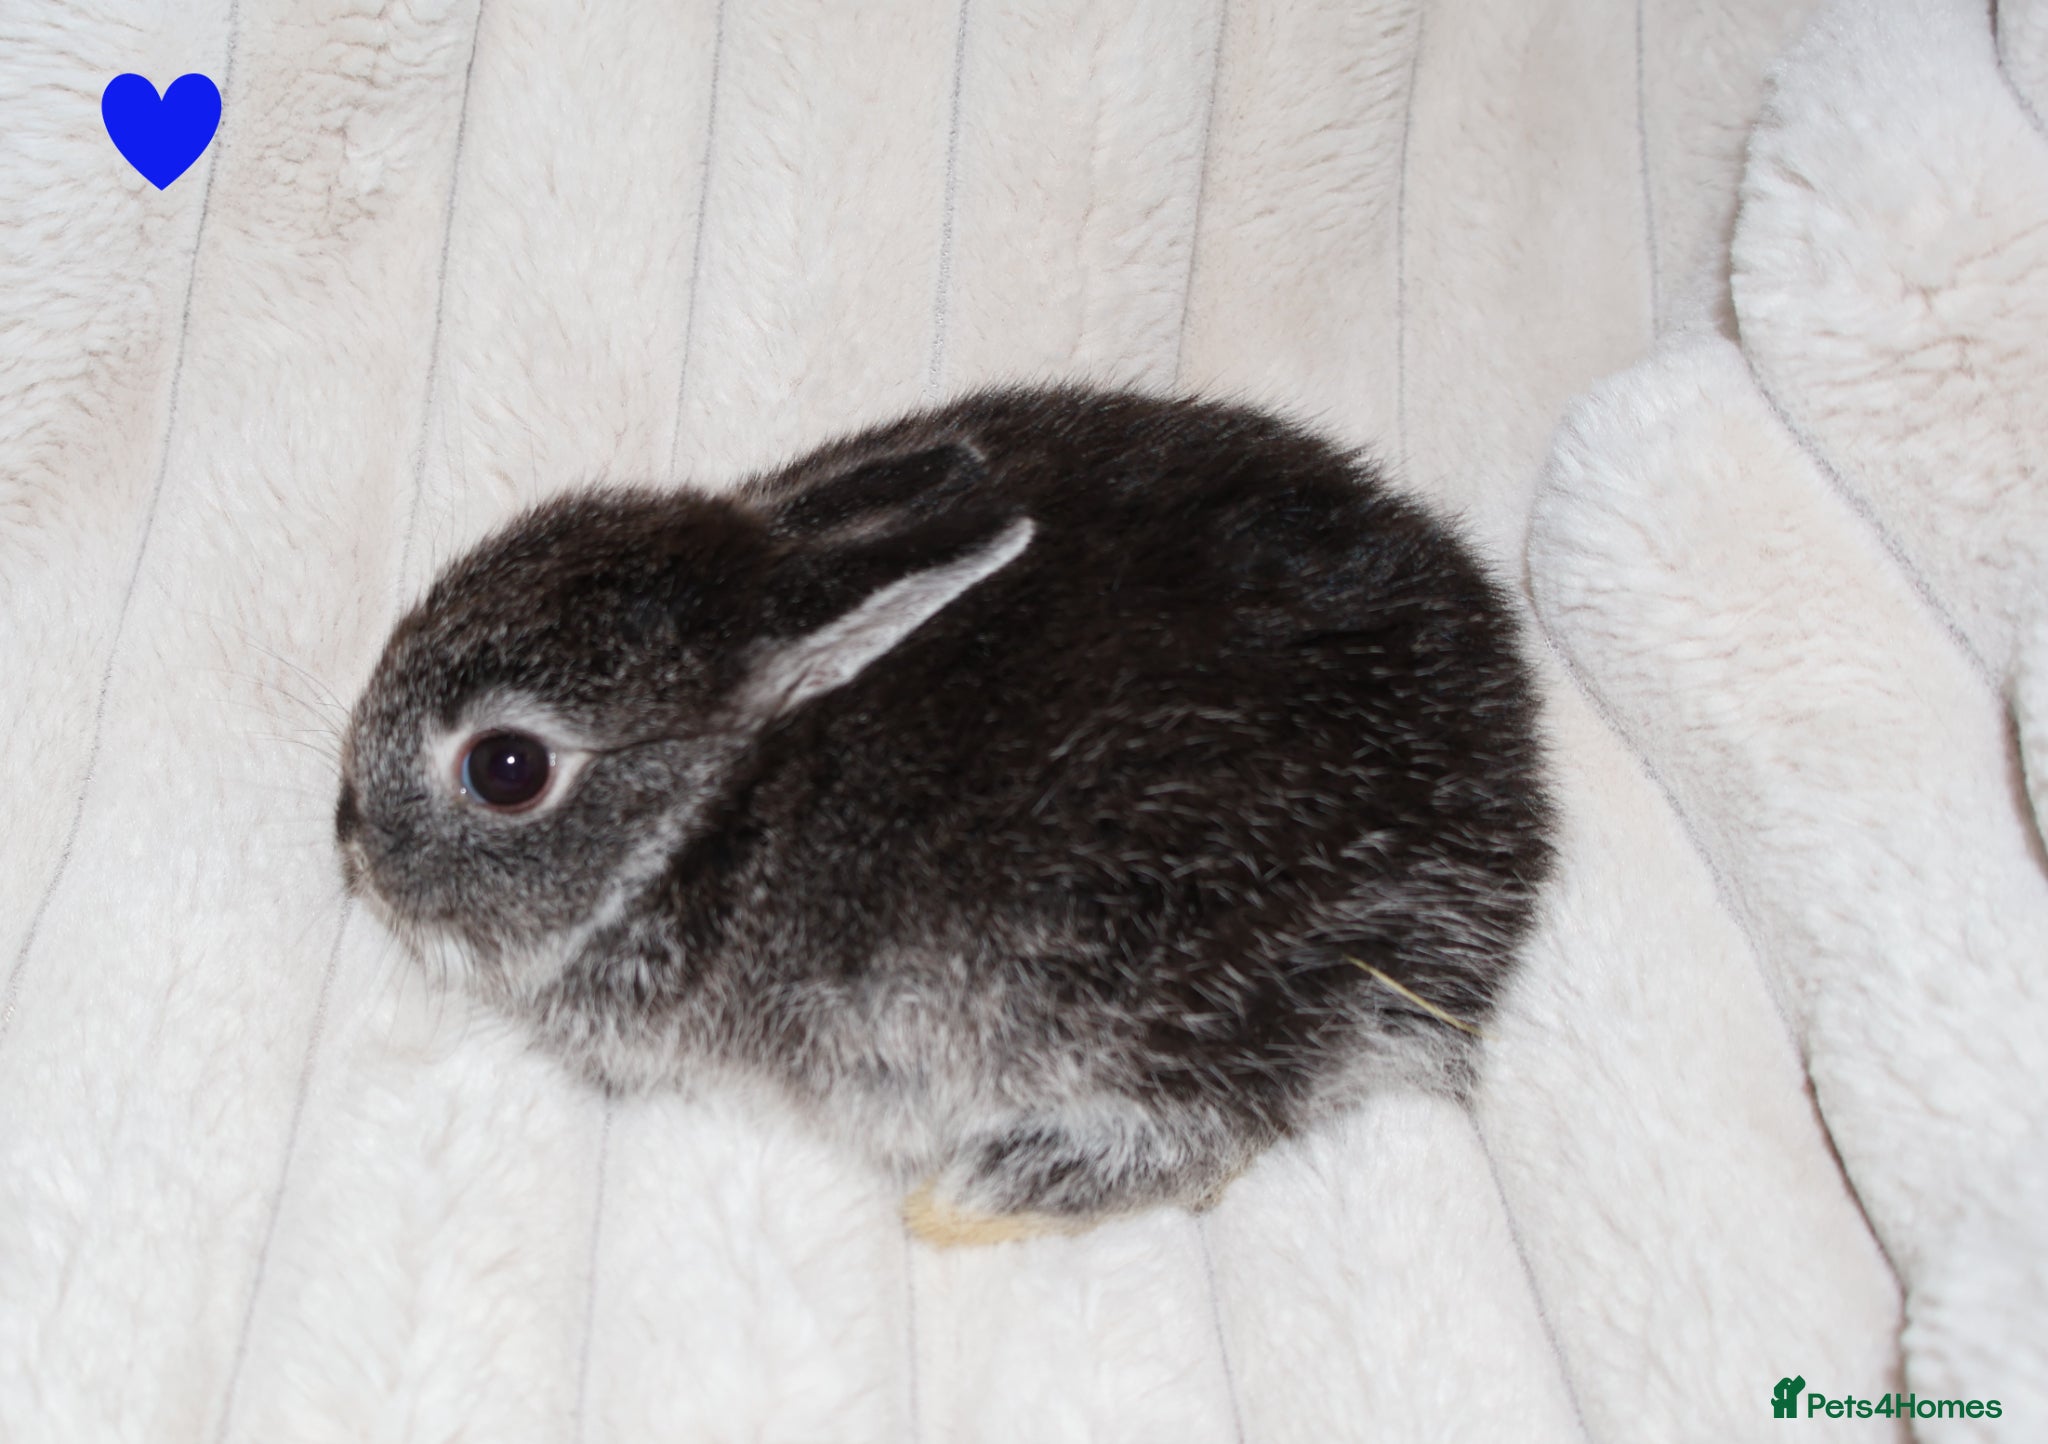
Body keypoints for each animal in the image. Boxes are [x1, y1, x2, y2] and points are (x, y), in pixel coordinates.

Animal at [336, 385, 1555, 1245]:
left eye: (505, 767)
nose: (350, 839)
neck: (709, 804)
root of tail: (1505, 815)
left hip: (1171, 998)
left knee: (1204, 1136)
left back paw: (959, 1203)